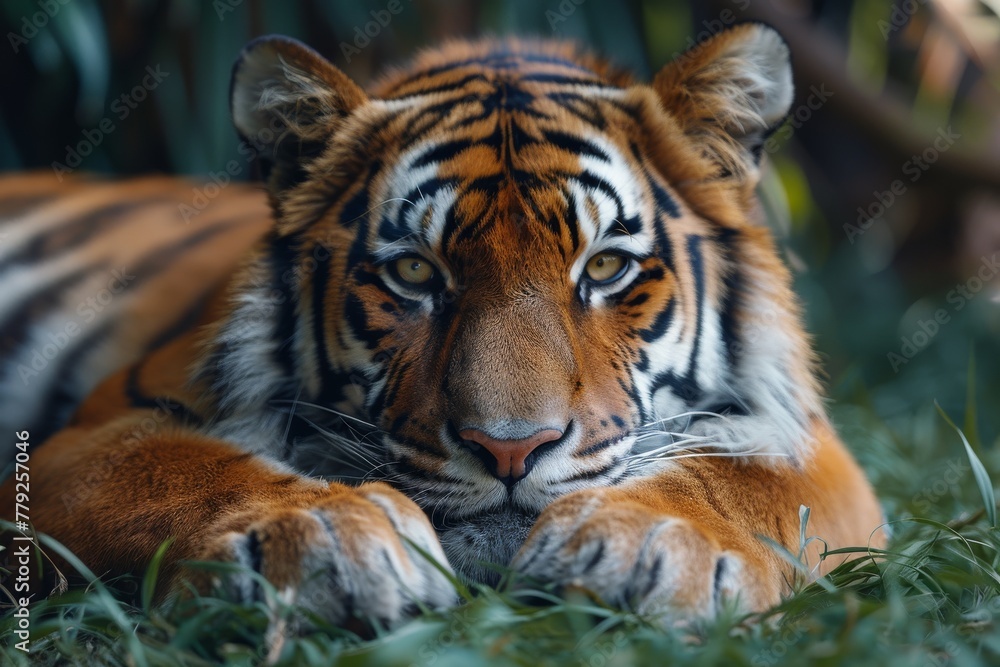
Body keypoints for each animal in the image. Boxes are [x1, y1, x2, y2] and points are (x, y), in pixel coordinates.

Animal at [0, 24, 884, 626]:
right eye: (415, 273)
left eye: (604, 267)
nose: (511, 449)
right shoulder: (96, 429)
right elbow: (183, 470)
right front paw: (321, 536)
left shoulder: (811, 445)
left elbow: (741, 480)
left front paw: (649, 545)